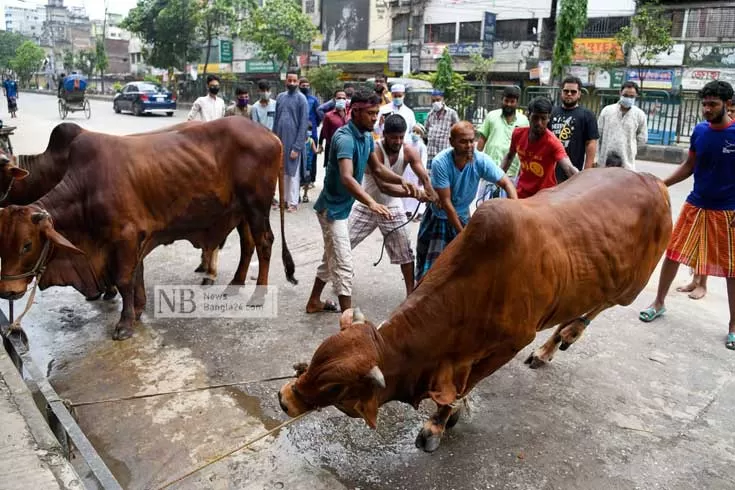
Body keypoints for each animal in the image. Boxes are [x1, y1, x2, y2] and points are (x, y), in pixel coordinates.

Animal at [0, 117, 296, 340]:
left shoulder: (126, 238)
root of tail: (272, 135)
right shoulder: (133, 241)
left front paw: (124, 323)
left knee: (264, 242)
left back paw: (258, 294)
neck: (84, 190)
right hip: (241, 212)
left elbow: (124, 279)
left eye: (27, 245)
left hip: (256, 206)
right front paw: (138, 310)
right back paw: (234, 284)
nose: (7, 291)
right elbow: (135, 276)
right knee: (248, 243)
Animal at [278, 167, 676, 452]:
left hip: (631, 287)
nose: (284, 400)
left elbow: (463, 388)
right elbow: (458, 386)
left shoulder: (509, 345)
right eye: (317, 358)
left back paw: (563, 337)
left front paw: (438, 424)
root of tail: (654, 180)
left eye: (334, 388)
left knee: (597, 307)